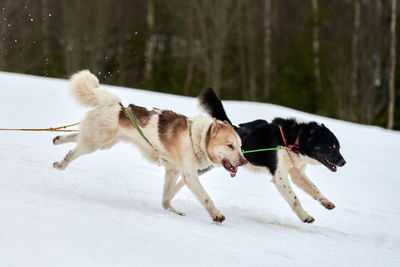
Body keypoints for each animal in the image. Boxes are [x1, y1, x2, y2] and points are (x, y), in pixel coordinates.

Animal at [52, 70, 247, 223]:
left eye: (240, 146)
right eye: (230, 145)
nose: (244, 161)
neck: (197, 138)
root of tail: (116, 105)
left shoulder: (173, 171)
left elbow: (166, 199)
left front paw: (172, 211)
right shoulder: (190, 175)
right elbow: (206, 198)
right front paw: (216, 215)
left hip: (102, 142)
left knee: (74, 137)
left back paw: (57, 139)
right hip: (94, 143)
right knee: (72, 152)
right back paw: (61, 164)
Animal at [198, 88, 346, 224]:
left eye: (338, 147)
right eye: (330, 147)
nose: (344, 162)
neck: (293, 141)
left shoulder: (297, 173)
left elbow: (314, 188)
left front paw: (326, 202)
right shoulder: (280, 176)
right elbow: (294, 199)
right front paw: (305, 216)